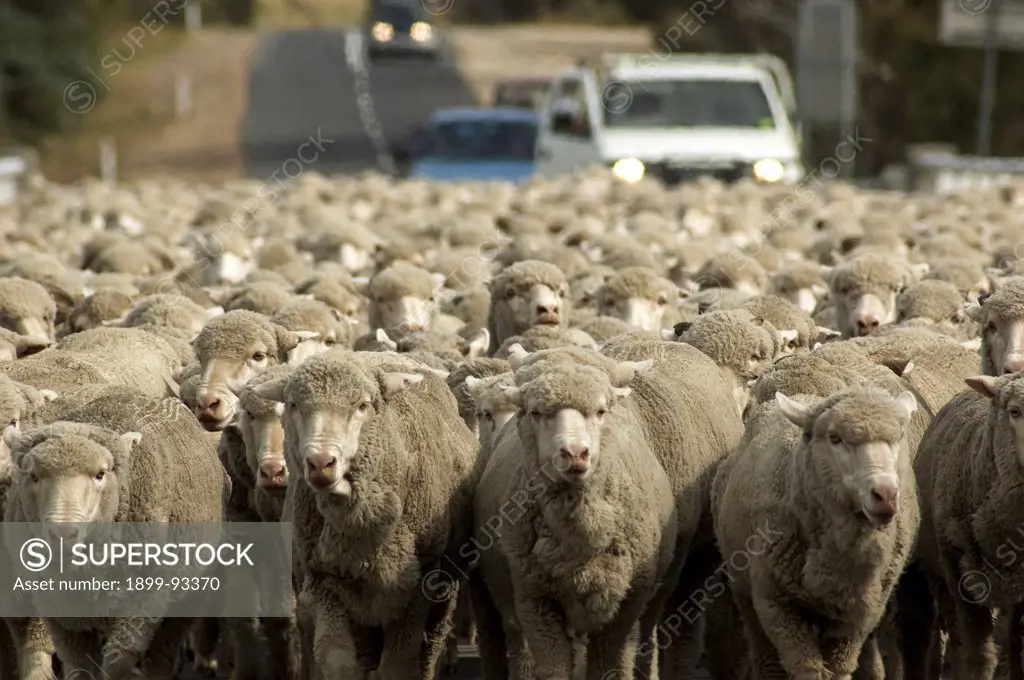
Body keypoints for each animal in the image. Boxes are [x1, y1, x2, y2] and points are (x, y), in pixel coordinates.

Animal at [253, 350, 481, 680]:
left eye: (362, 405)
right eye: (294, 405)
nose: (321, 463)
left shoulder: (416, 586)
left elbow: (398, 666)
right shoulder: (324, 582)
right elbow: (338, 660)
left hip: (443, 586)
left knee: (430, 648)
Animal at [473, 364, 679, 675]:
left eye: (601, 411)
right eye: (536, 412)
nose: (575, 453)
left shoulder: (625, 608)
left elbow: (611, 667)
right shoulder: (537, 604)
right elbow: (553, 668)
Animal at [712, 387, 921, 680]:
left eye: (899, 437)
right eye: (835, 438)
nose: (886, 495)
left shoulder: (858, 617)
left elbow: (840, 668)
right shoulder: (778, 607)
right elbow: (806, 669)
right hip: (746, 592)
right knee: (765, 657)